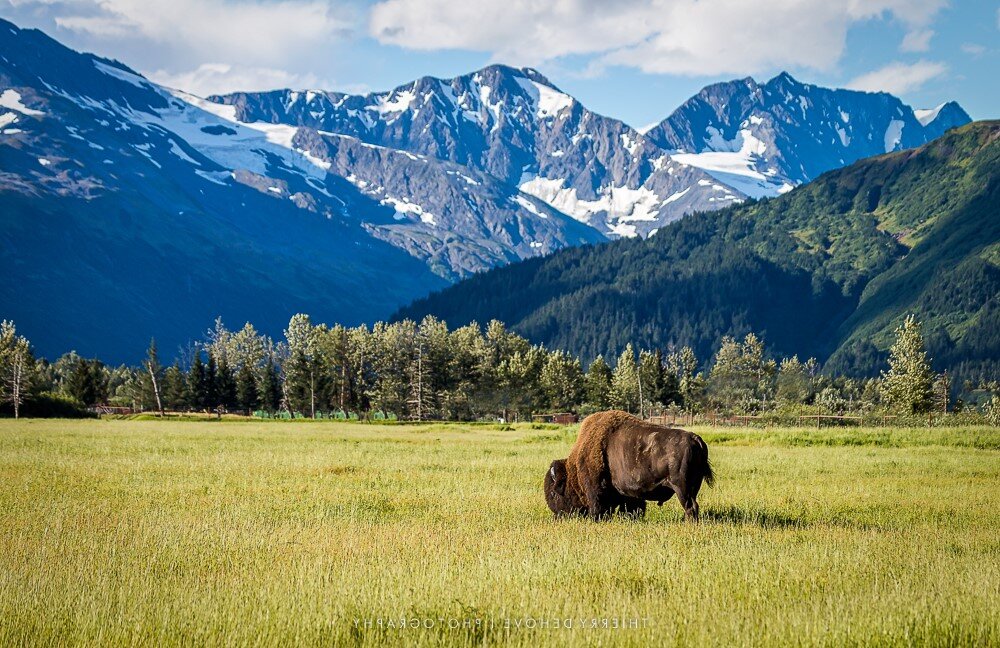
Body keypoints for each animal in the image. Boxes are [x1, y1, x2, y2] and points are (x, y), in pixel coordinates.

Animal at [548, 410, 712, 520]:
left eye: (554, 493)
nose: (558, 515)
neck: (574, 468)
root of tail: (694, 438)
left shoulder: (595, 489)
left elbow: (598, 506)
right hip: (693, 487)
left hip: (682, 488)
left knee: (690, 506)